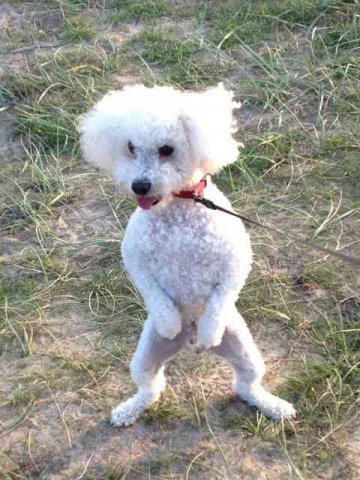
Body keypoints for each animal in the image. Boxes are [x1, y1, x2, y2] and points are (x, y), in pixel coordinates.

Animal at [80, 84, 296, 426]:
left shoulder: (236, 261)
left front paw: (210, 331)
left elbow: (221, 298)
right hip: (145, 357)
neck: (178, 209)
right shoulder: (135, 259)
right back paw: (130, 409)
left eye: (167, 149)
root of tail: (188, 342)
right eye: (130, 147)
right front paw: (169, 321)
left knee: (247, 384)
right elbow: (154, 295)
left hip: (244, 349)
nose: (139, 185)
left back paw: (271, 405)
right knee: (151, 387)